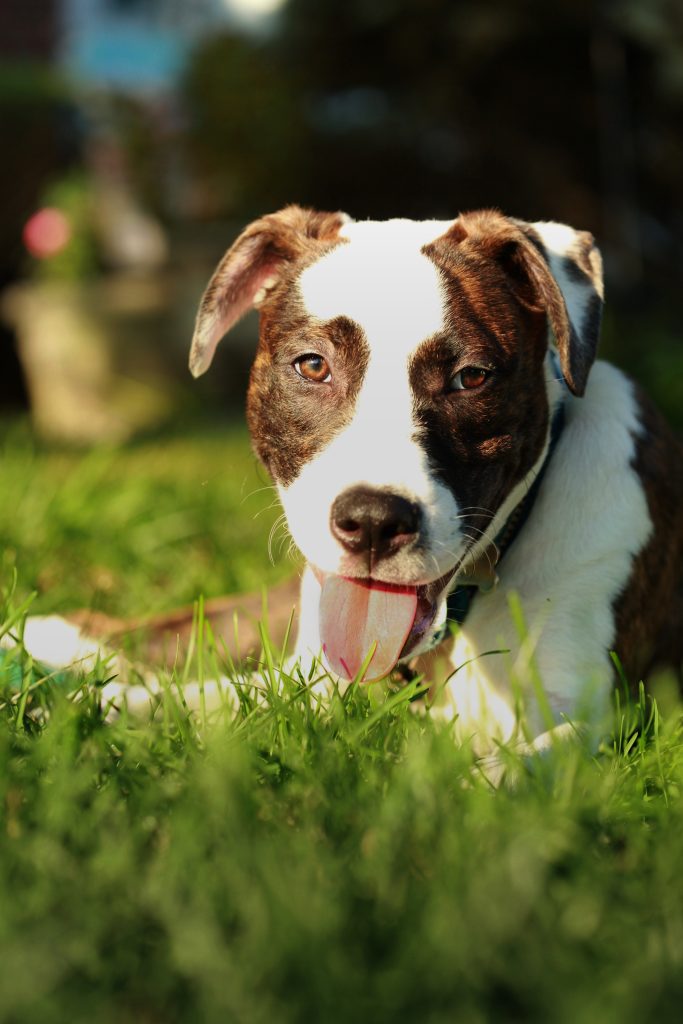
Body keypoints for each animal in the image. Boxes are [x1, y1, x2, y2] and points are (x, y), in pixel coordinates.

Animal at [185, 207, 679, 753]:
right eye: (313, 365)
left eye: (471, 377)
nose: (373, 522)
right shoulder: (303, 679)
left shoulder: (590, 720)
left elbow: (510, 768)